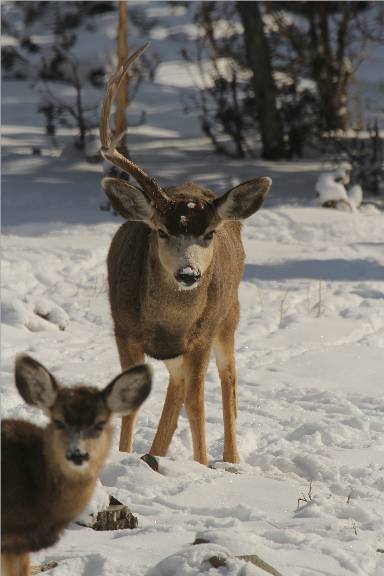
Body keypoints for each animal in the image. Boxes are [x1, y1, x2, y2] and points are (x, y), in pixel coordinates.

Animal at [100, 46, 272, 468]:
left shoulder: (201, 335)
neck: (166, 325)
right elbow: (129, 404)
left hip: (228, 316)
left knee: (226, 378)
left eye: (208, 234)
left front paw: (202, 465)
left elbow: (197, 404)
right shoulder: (123, 329)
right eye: (162, 231)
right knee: (176, 386)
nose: (190, 273)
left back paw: (230, 459)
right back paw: (154, 453)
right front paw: (123, 456)